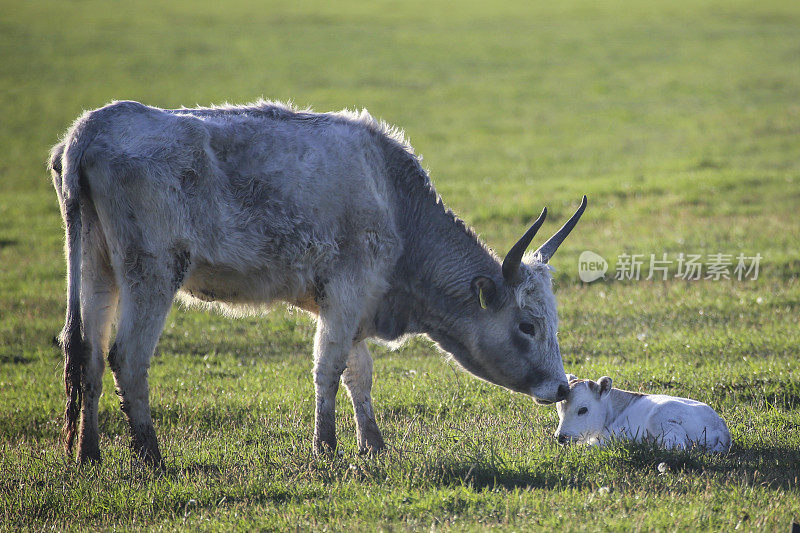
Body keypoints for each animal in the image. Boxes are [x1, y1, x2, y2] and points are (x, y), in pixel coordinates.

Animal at [51, 100, 588, 466]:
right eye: (527, 326)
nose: (563, 386)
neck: (392, 198)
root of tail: (91, 128)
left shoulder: (350, 304)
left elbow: (358, 373)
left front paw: (374, 447)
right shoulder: (346, 292)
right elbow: (328, 367)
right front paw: (326, 450)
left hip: (95, 268)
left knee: (85, 351)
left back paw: (87, 454)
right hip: (152, 272)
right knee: (127, 357)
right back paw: (153, 459)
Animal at [556, 374, 732, 454]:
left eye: (582, 409)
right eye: (559, 408)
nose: (560, 436)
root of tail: (721, 428)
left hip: (660, 418)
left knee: (677, 447)